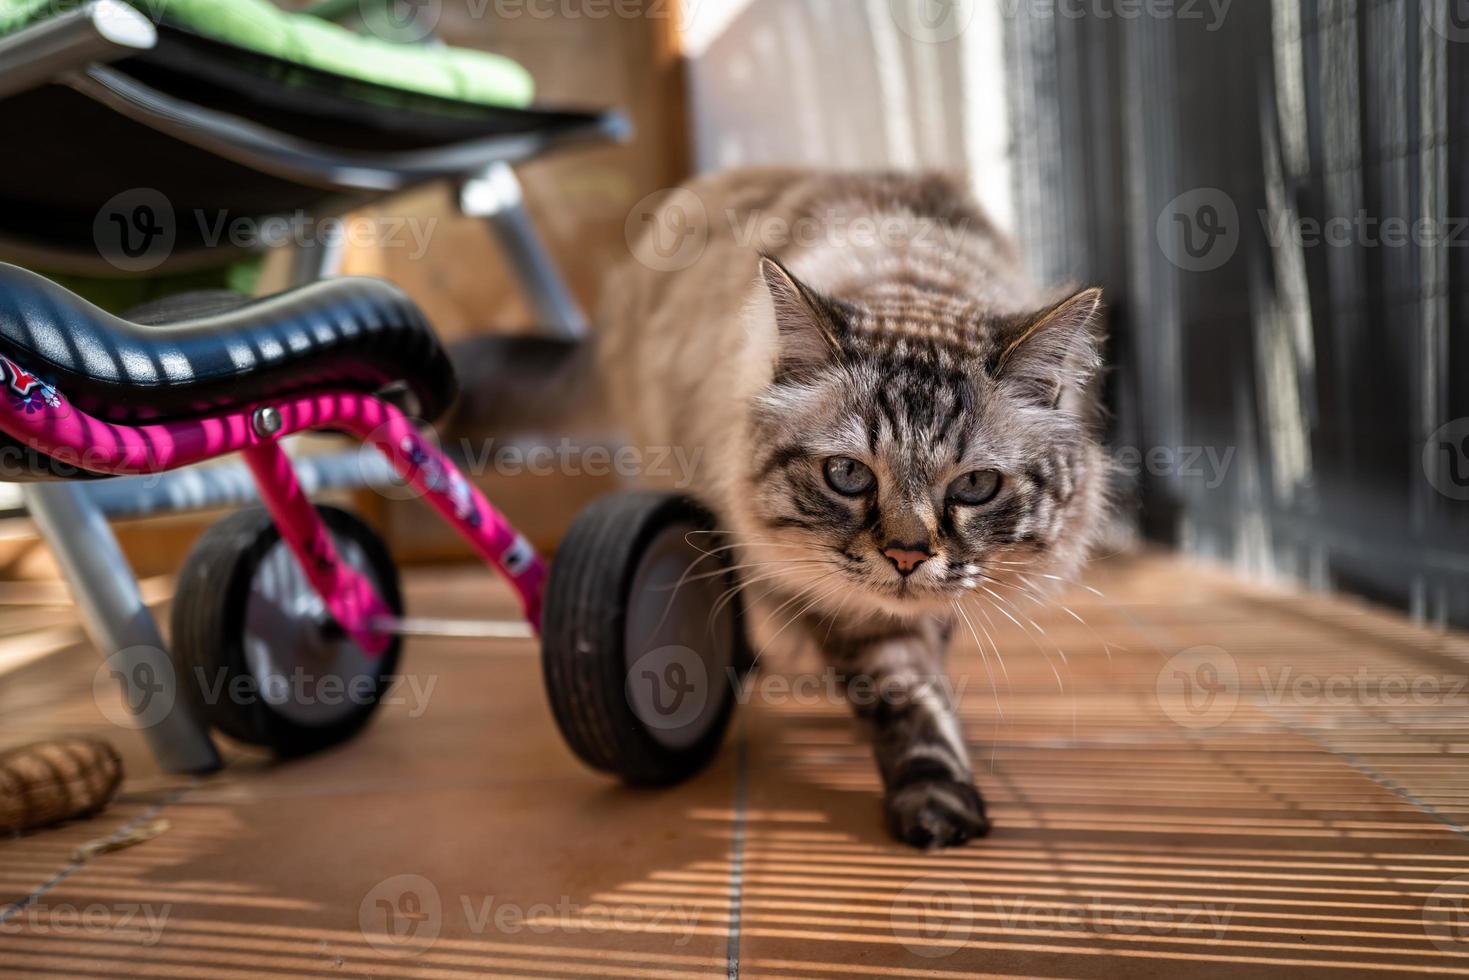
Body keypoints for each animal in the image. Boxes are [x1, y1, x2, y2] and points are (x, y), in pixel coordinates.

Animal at [455, 168, 1104, 852]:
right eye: (848, 475)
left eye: (975, 486)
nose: (906, 556)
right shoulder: (842, 603)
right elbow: (907, 698)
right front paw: (935, 797)